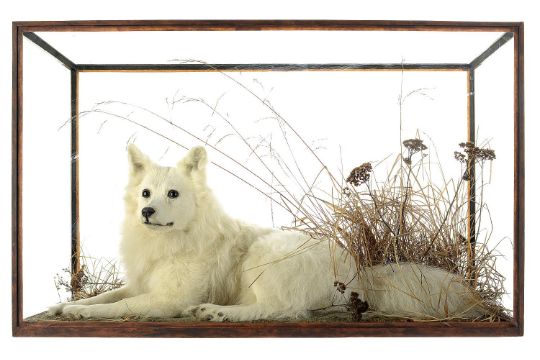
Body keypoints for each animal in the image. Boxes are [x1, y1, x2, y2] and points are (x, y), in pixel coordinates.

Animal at [48, 144, 484, 320]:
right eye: (145, 193)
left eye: (173, 194)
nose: (147, 212)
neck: (176, 236)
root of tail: (357, 271)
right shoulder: (142, 282)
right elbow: (108, 294)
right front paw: (62, 306)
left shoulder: (166, 299)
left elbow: (118, 306)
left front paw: (77, 312)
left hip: (263, 255)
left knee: (281, 309)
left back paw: (216, 312)